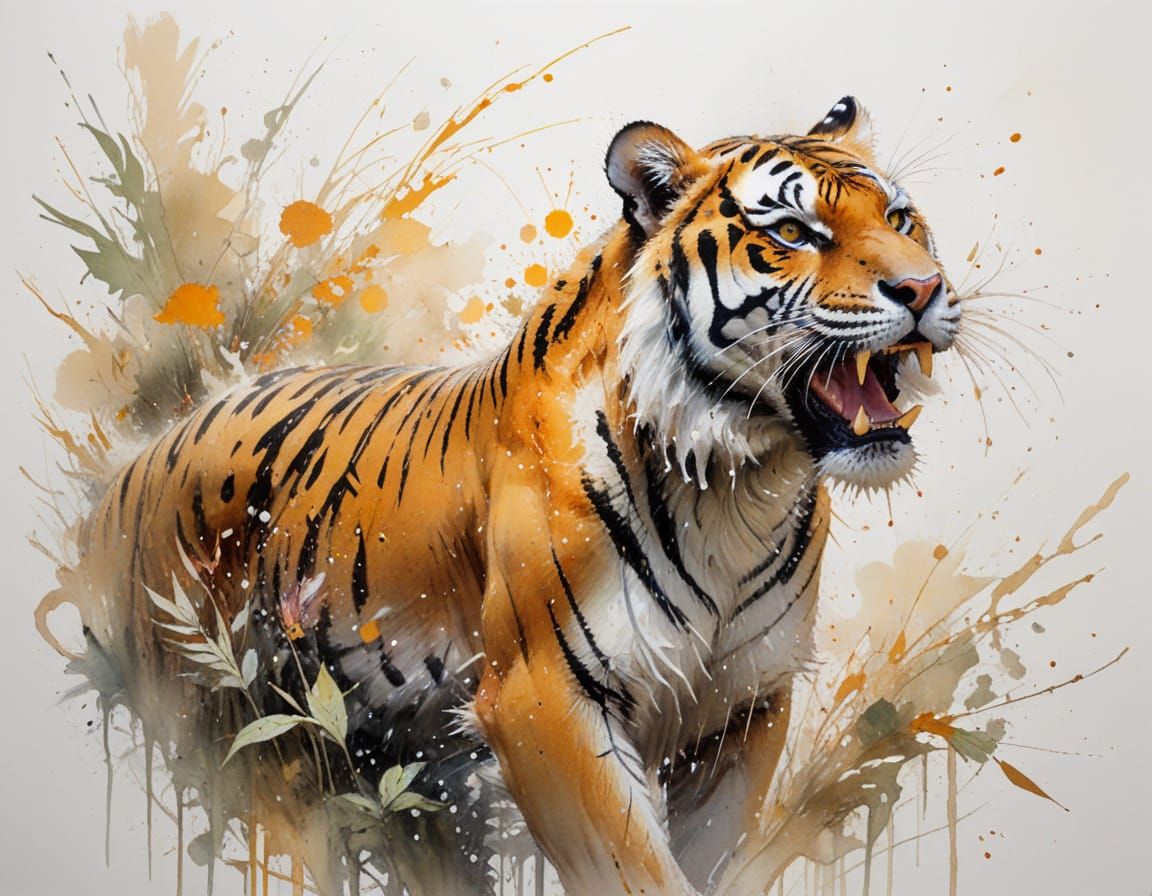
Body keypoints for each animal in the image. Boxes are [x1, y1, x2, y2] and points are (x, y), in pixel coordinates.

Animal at [75, 96, 959, 895]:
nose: (925, 289)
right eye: (792, 233)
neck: (738, 487)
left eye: (902, 217)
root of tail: (129, 472)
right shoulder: (545, 700)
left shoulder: (740, 709)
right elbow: (636, 871)